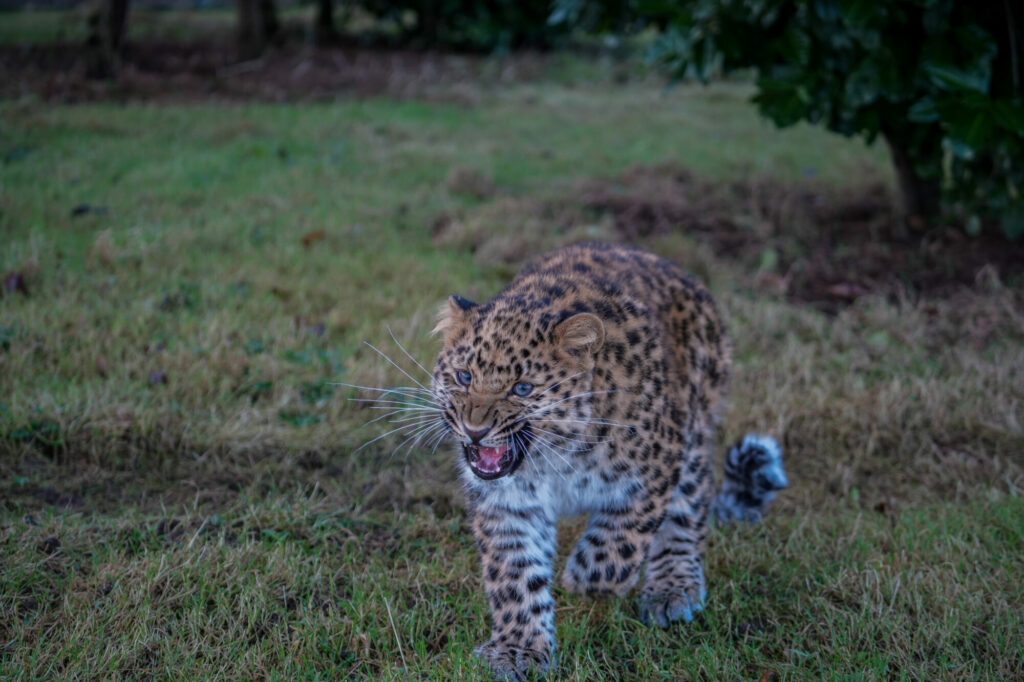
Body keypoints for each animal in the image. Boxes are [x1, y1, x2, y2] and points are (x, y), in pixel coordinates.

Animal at [429, 242, 786, 679]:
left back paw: (673, 589)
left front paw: (584, 576)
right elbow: (515, 575)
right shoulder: (508, 504)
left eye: (522, 388)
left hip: (697, 431)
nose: (475, 430)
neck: (555, 458)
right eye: (464, 377)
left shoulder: (658, 467)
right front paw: (518, 648)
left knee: (687, 515)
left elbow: (621, 543)